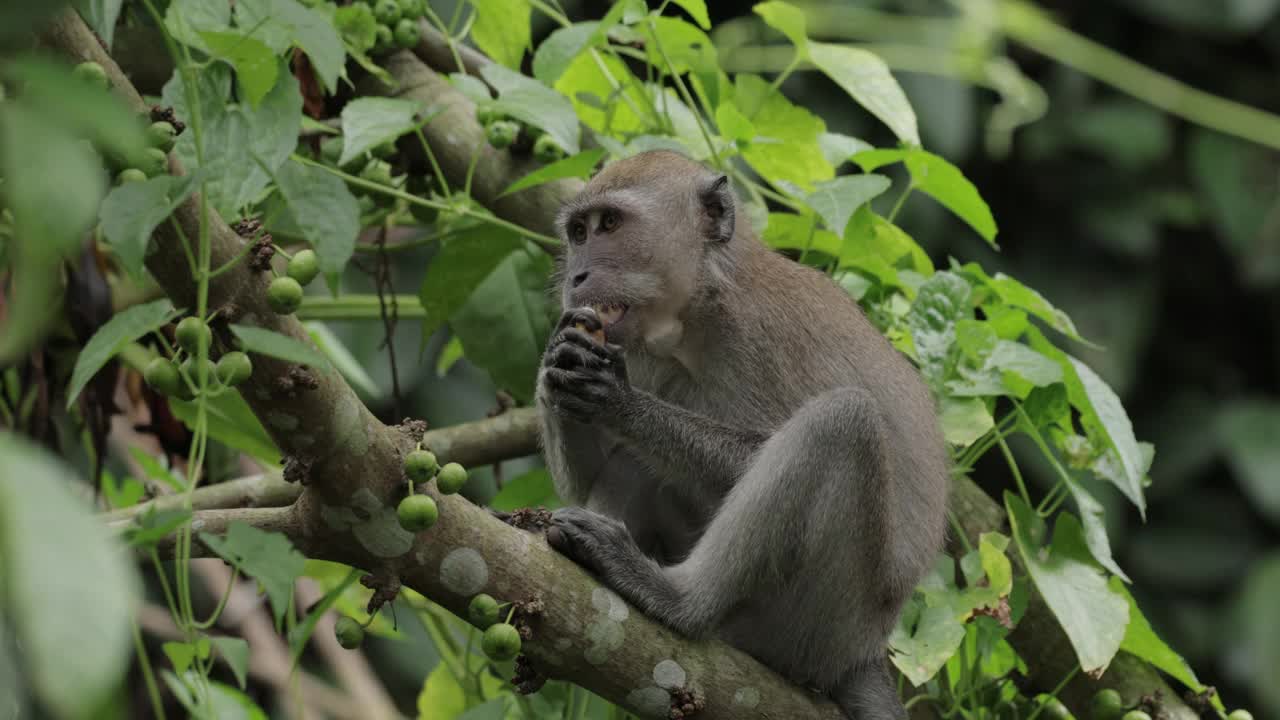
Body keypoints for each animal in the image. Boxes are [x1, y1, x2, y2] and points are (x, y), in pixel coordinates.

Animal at [532, 148, 952, 712]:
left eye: (610, 224)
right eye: (578, 231)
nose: (575, 276)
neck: (696, 313)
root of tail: (860, 654)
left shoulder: (762, 336)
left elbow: (755, 451)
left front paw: (620, 402)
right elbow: (588, 476)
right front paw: (559, 358)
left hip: (813, 622)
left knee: (841, 423)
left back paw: (677, 601)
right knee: (637, 463)